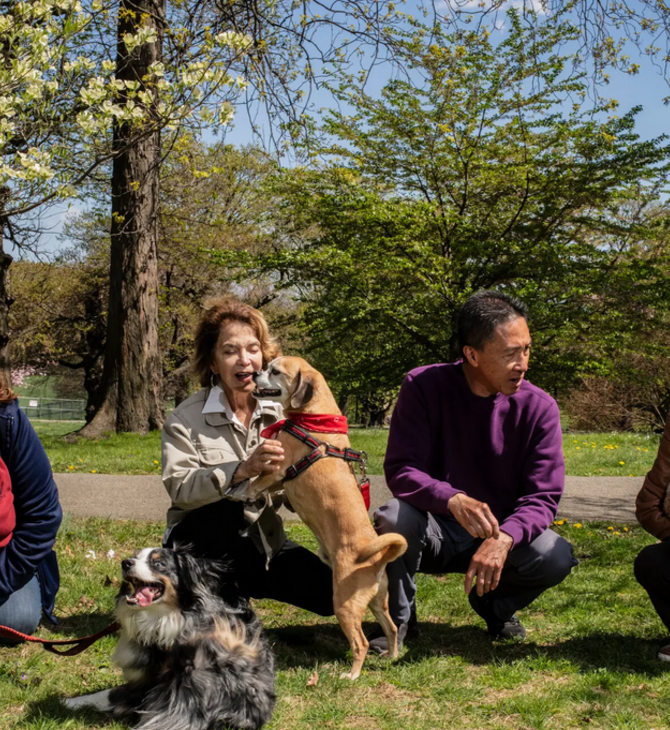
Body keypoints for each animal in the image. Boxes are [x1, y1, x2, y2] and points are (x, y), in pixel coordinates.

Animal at [230, 356, 410, 680]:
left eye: (275, 371)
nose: (255, 372)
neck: (314, 417)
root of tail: (377, 558)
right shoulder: (278, 479)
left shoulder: (276, 469)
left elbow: (256, 480)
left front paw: (243, 491)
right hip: (378, 602)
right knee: (390, 629)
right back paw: (391, 656)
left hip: (345, 605)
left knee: (361, 643)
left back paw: (352, 674)